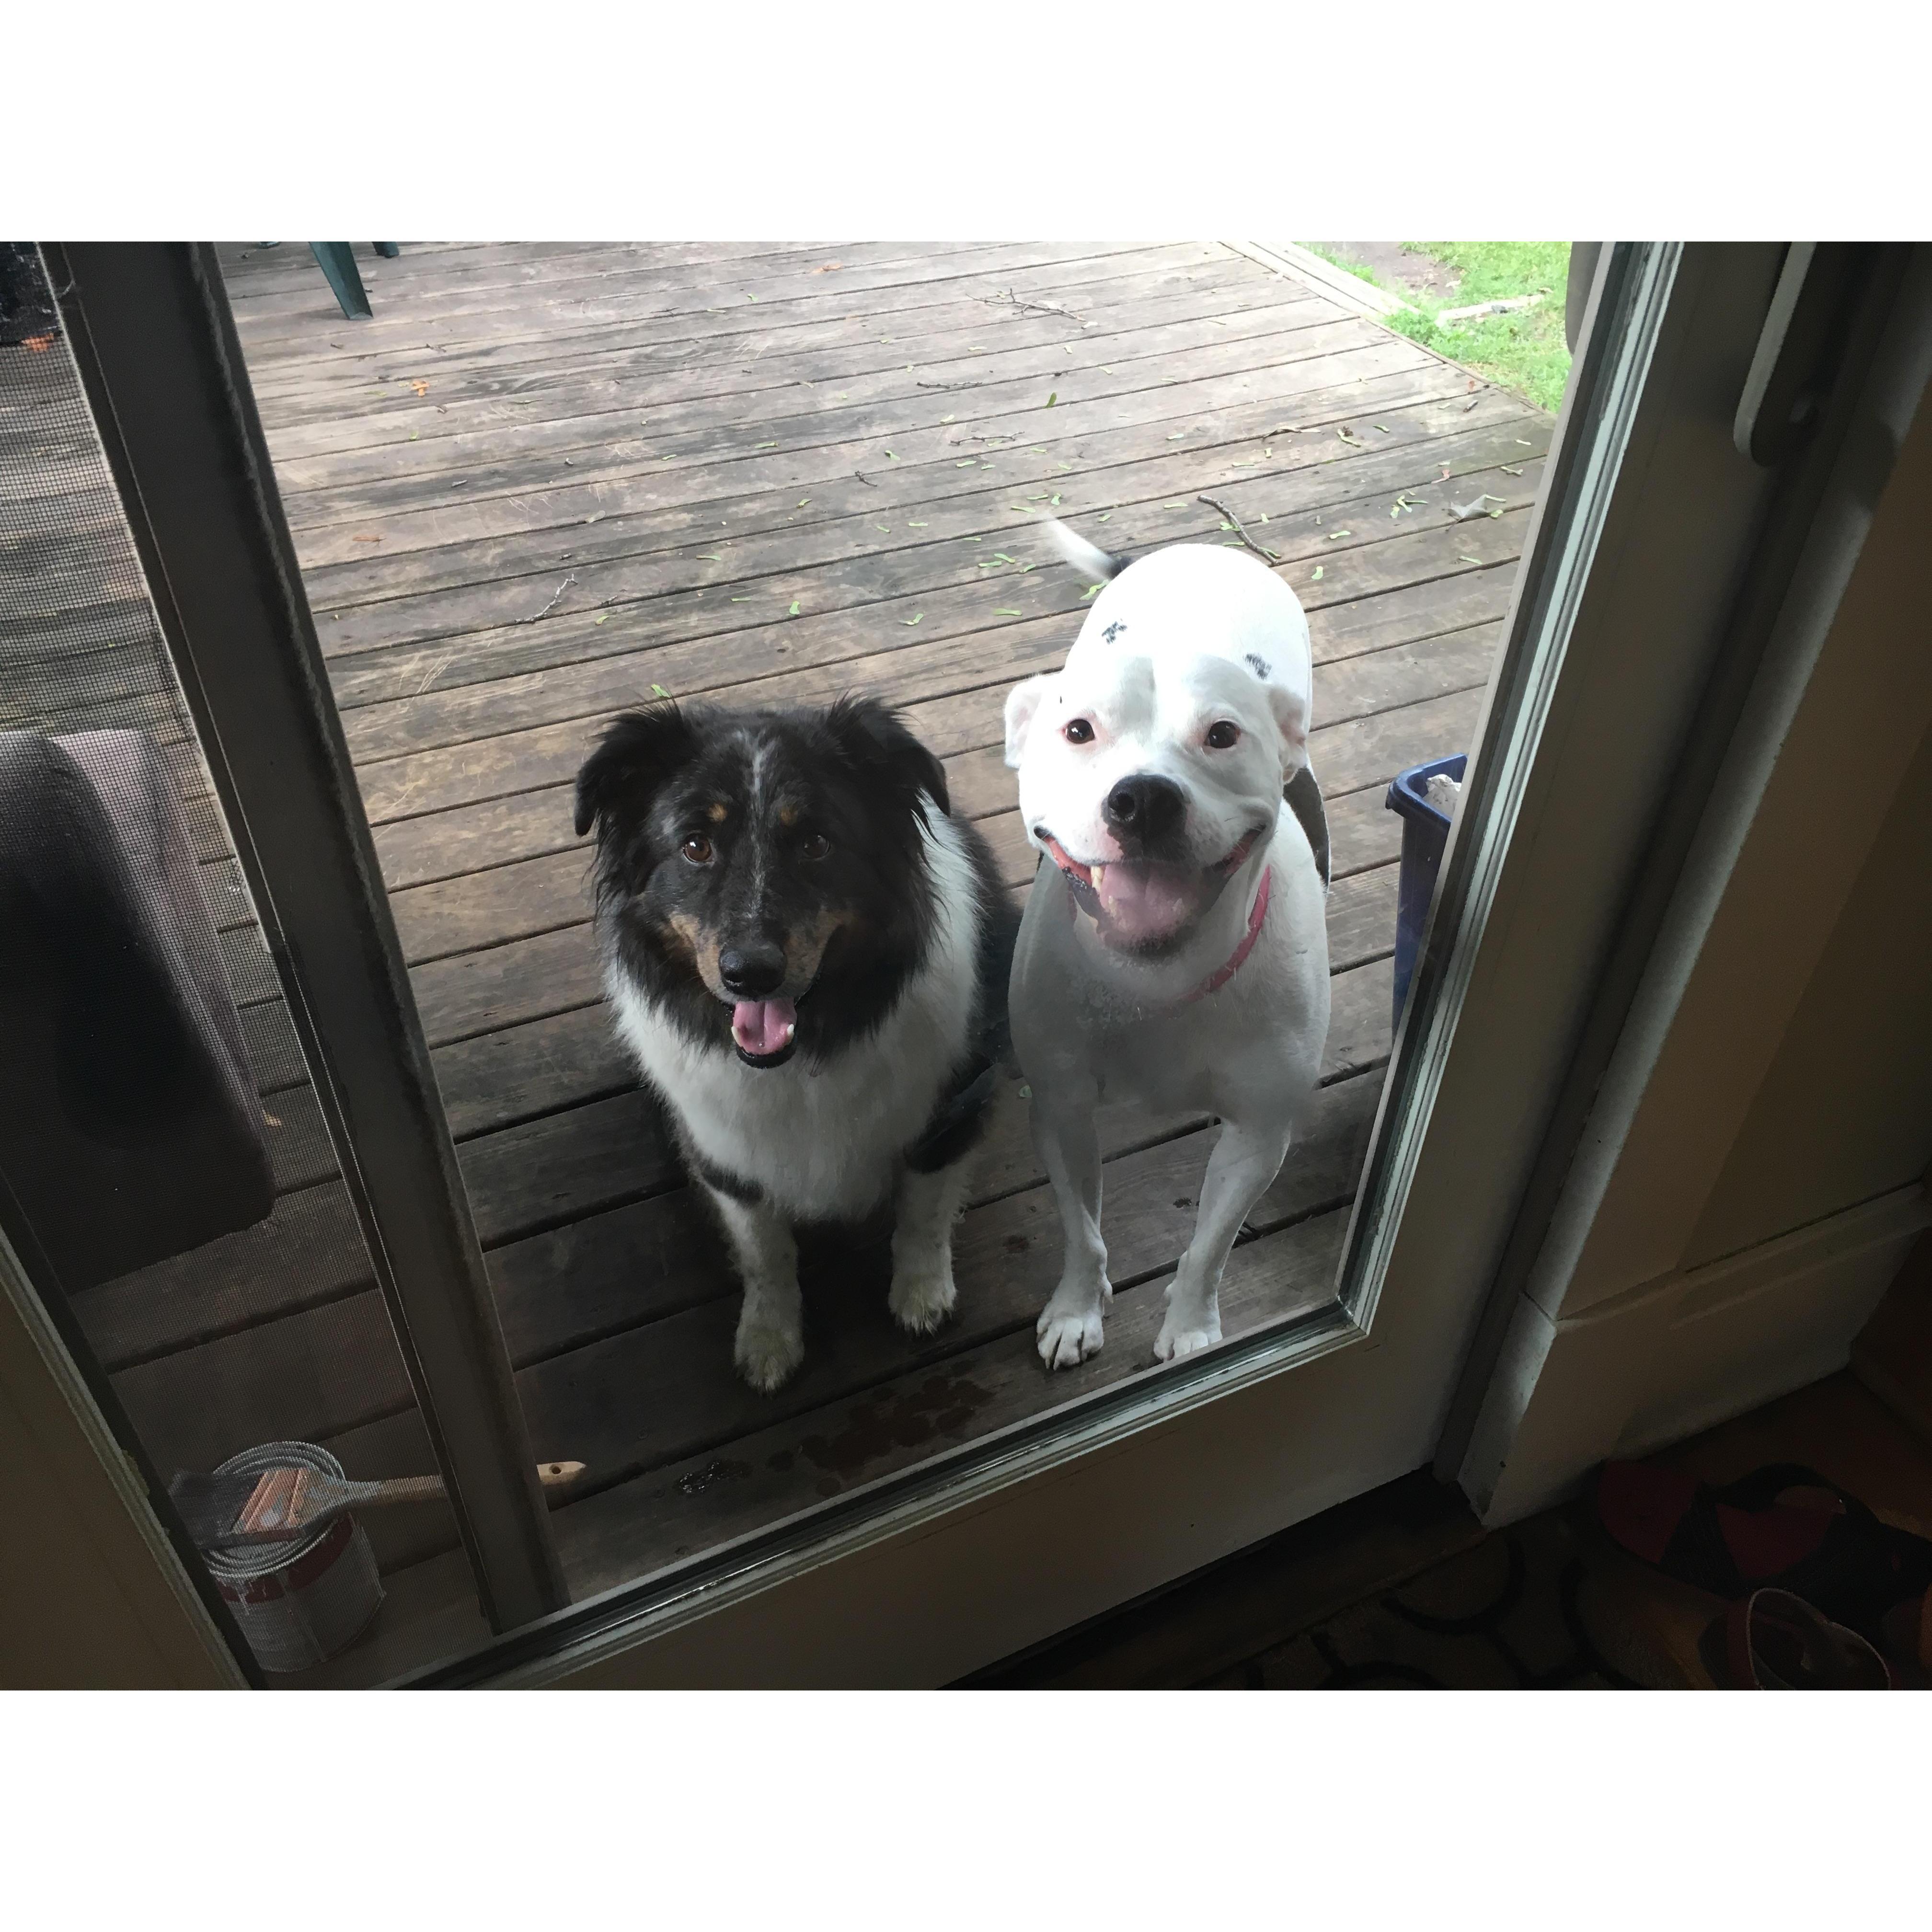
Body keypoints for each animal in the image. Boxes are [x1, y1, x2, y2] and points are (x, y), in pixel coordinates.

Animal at [568, 695, 1012, 1391]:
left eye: (816, 843)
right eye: (695, 846)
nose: (750, 974)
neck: (802, 1058)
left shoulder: (950, 1109)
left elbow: (924, 1213)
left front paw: (922, 1296)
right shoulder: (724, 1156)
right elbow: (765, 1251)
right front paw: (769, 1339)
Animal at [997, 529, 1329, 1368]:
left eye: (1223, 734)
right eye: (1078, 730)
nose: (1143, 798)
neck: (1158, 977)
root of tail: (1198, 548)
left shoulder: (1259, 1134)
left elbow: (1210, 1245)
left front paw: (1191, 1327)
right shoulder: (1061, 1108)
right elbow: (1083, 1233)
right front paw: (1077, 1310)